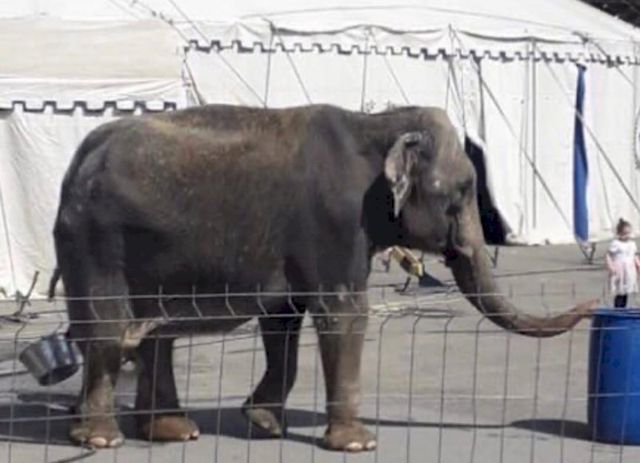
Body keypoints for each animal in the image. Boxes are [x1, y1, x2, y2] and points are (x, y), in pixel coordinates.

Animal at [50, 104, 594, 452]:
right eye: (461, 191)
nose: (592, 308)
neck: (377, 122)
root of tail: (80, 158)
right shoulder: (336, 221)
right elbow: (343, 313)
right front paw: (359, 445)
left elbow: (283, 321)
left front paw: (263, 423)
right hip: (97, 240)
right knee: (107, 327)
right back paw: (102, 438)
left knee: (152, 333)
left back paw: (171, 432)